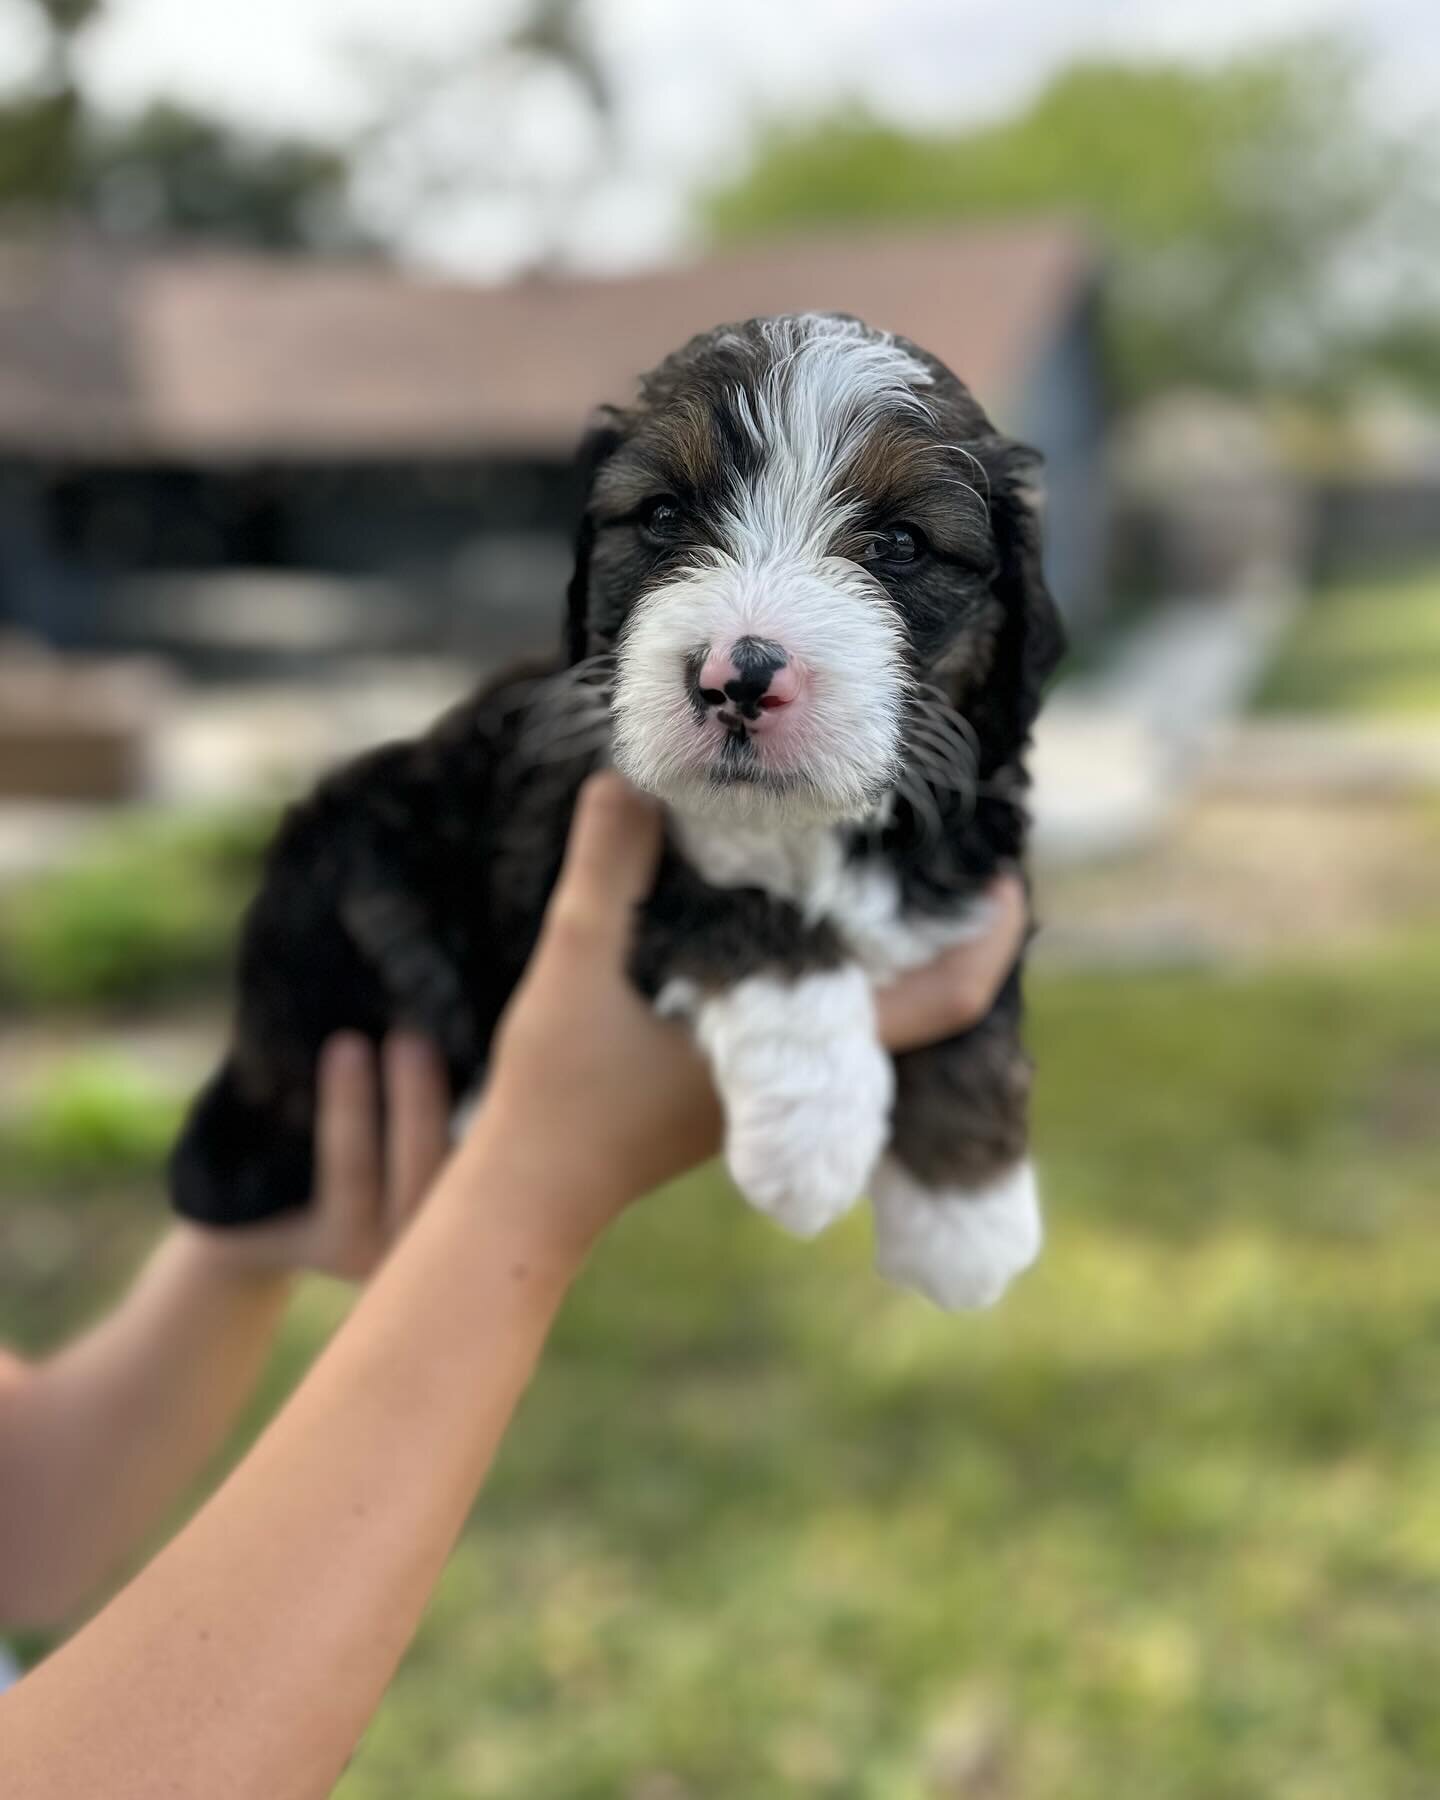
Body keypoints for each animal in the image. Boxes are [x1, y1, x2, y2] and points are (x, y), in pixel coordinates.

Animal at [171, 316, 1065, 1310]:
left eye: (903, 544)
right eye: (664, 516)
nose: (740, 676)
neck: (790, 828)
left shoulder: (974, 830)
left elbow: (972, 999)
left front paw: (967, 1216)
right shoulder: (567, 833)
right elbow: (746, 917)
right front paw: (813, 1136)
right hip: (351, 868)